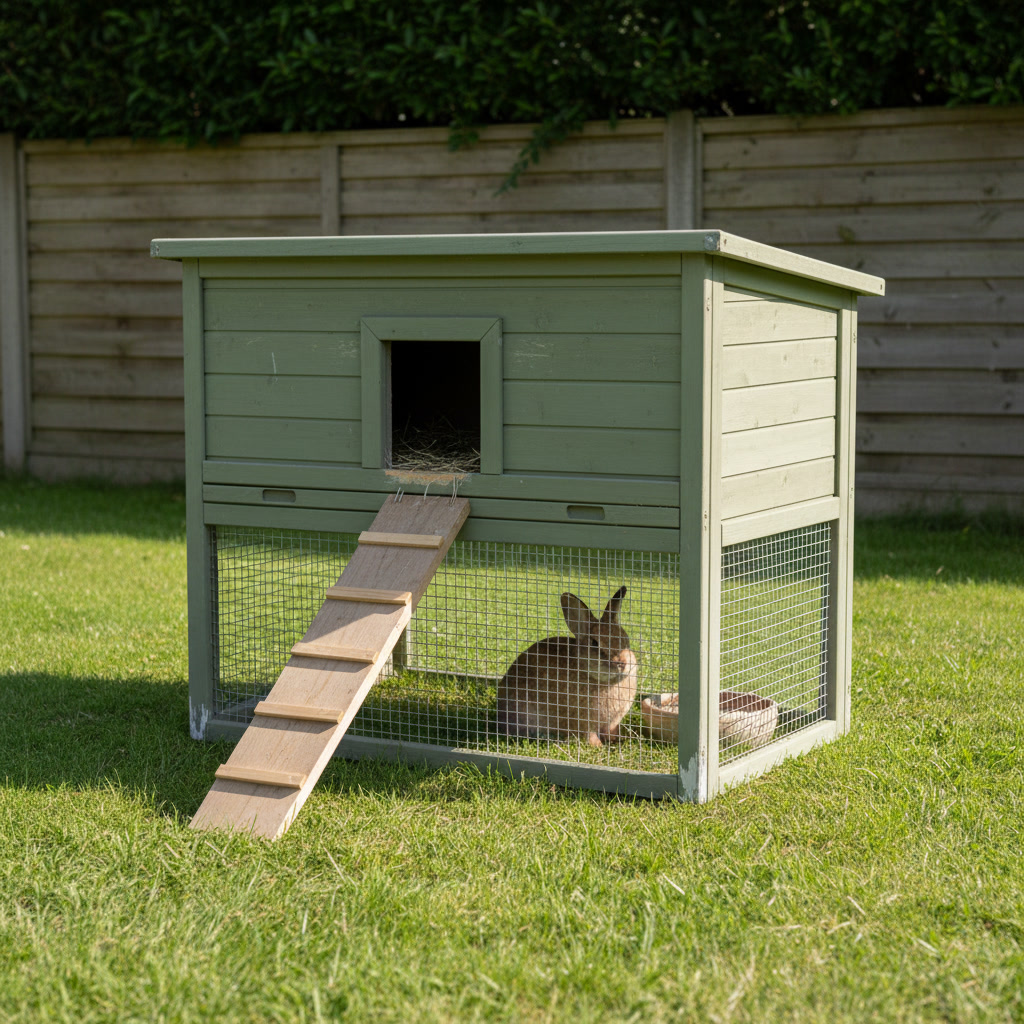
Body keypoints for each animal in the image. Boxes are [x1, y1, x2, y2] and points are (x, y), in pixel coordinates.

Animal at [496, 585, 638, 747]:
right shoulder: (582, 723)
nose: (622, 663)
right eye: (595, 643)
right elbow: (589, 736)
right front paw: (599, 746)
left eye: (626, 639)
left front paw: (618, 739)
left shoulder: (610, 723)